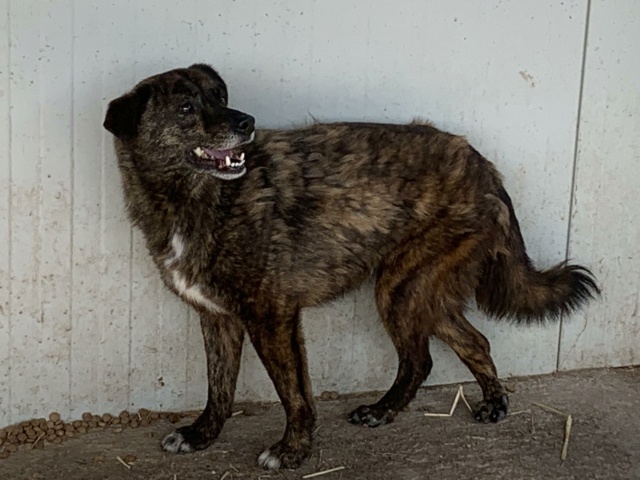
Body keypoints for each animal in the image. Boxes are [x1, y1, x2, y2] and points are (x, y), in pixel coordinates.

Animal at [102, 63, 596, 468]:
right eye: (186, 107)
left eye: (219, 97)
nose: (247, 122)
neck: (201, 198)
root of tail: (482, 164)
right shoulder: (218, 318)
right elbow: (219, 388)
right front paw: (201, 435)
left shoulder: (272, 318)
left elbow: (293, 393)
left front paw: (293, 451)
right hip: (418, 290)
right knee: (473, 340)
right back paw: (477, 403)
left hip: (400, 287)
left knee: (420, 358)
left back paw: (389, 410)